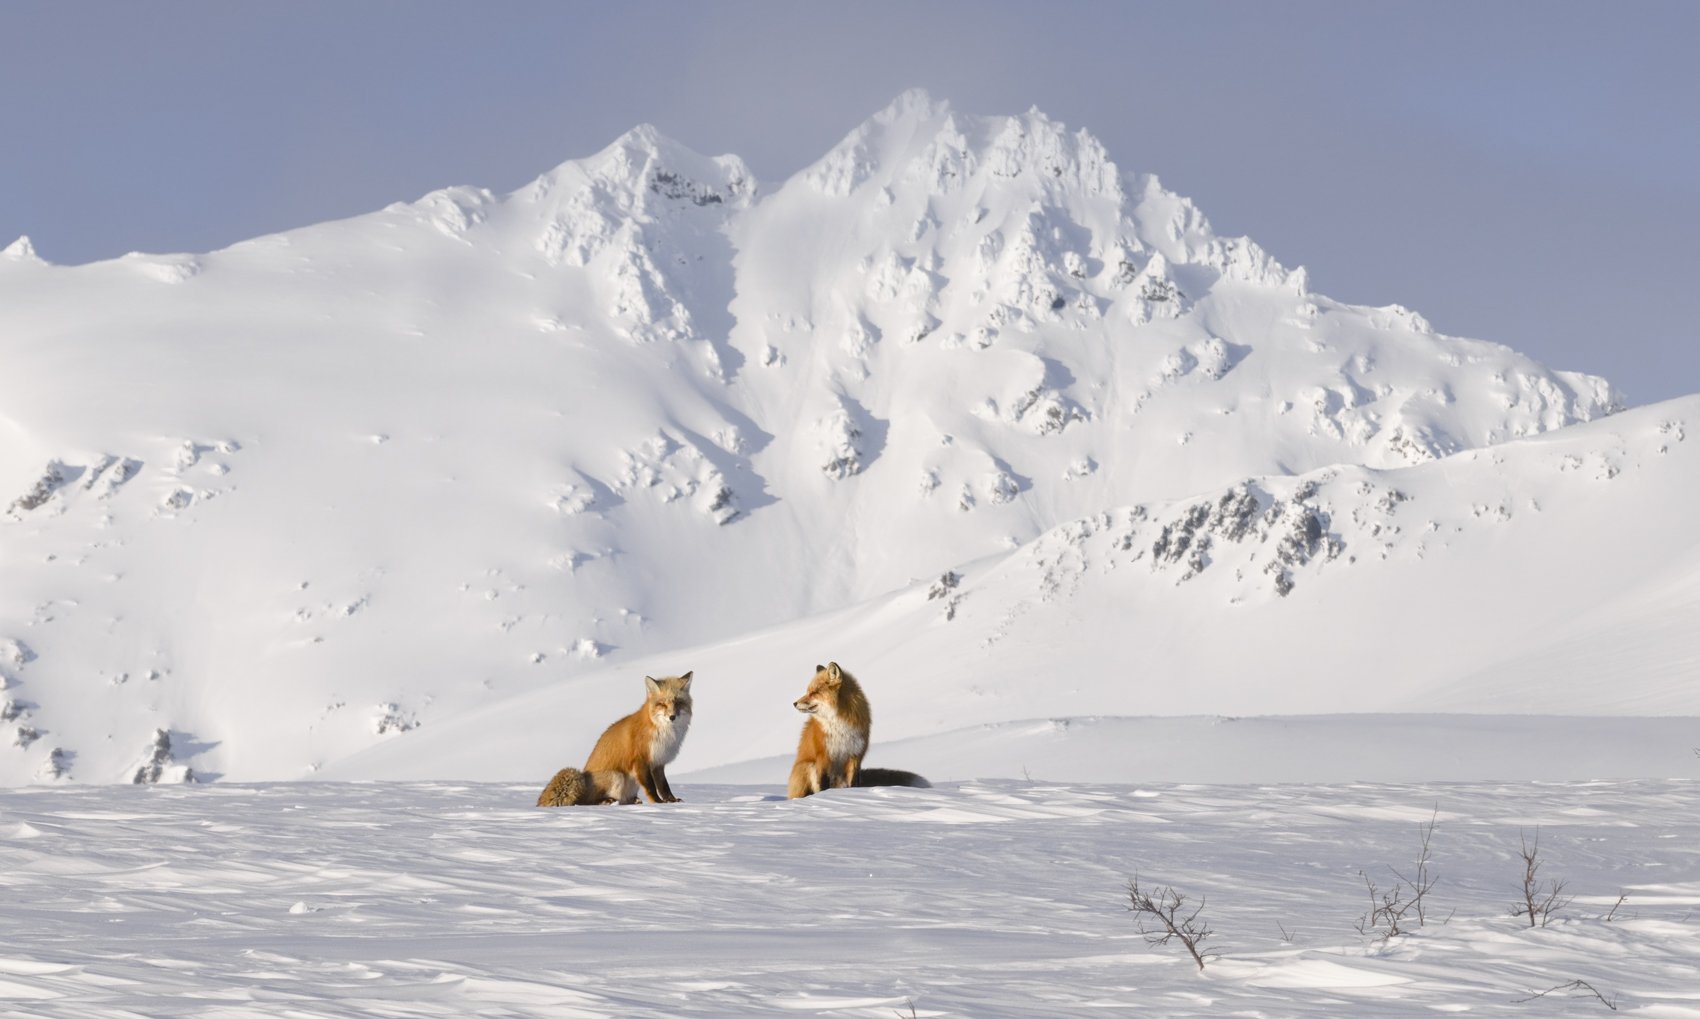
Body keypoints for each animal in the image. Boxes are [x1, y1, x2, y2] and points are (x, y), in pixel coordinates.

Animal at [583, 671, 693, 804]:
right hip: (617, 776)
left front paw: (671, 801)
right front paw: (657, 802)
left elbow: (664, 786)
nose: (672, 717)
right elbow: (651, 786)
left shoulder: (658, 762)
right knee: (587, 801)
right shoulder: (640, 760)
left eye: (678, 702)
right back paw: (605, 801)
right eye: (662, 704)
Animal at [788, 662, 872, 798]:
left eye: (814, 692)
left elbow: (853, 783)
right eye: (808, 691)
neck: (839, 726)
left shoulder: (854, 755)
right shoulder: (824, 756)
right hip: (808, 766)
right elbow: (823, 783)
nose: (794, 703)